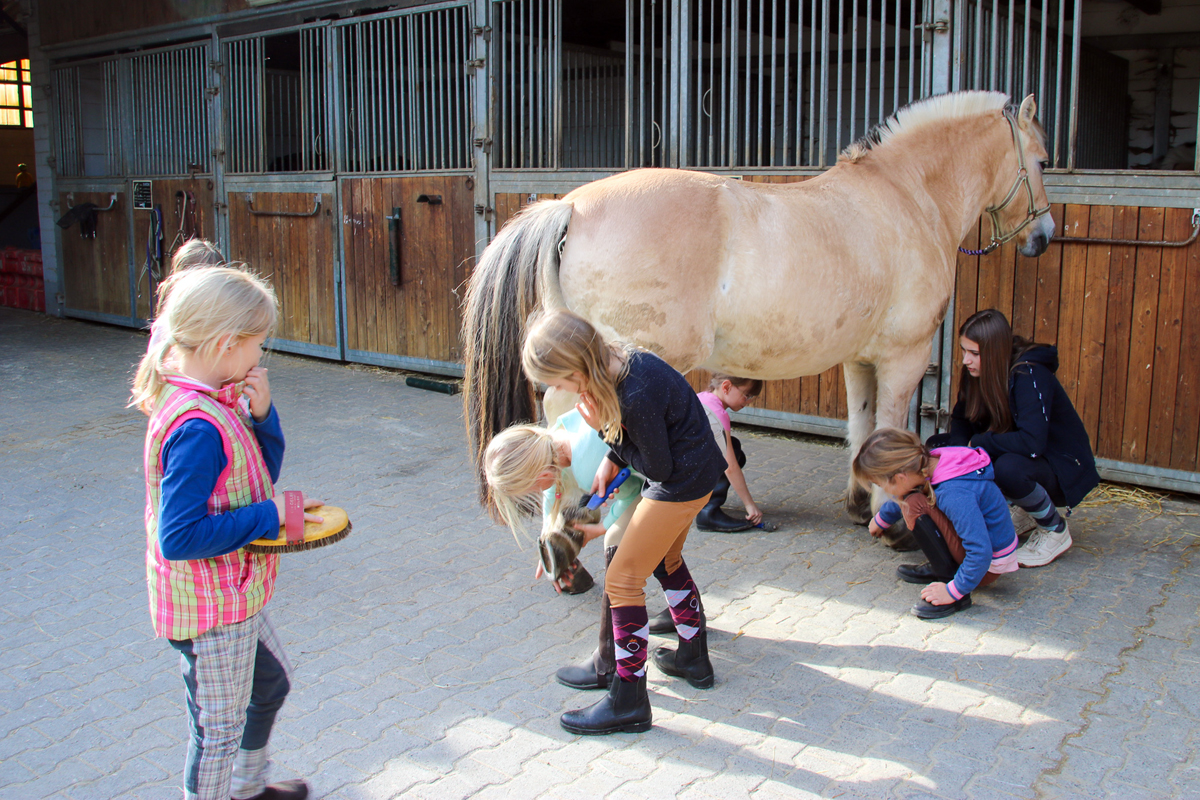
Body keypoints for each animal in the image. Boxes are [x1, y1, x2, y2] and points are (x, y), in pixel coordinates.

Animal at [463, 90, 1056, 542]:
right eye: (1044, 159)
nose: (1044, 237)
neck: (906, 199)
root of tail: (571, 206)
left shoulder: (860, 360)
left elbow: (862, 429)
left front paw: (860, 502)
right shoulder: (902, 358)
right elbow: (891, 431)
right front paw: (894, 519)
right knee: (569, 418)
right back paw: (567, 527)